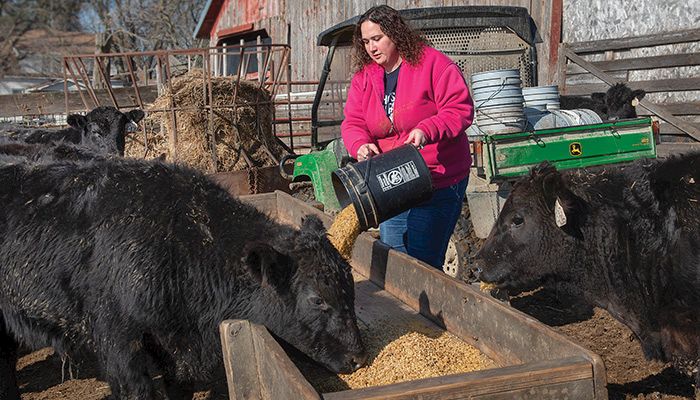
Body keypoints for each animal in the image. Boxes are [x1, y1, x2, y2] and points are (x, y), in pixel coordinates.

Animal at [0, 156, 370, 400]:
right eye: (317, 299)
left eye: (350, 288)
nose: (359, 358)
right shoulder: (117, 338)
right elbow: (136, 390)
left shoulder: (173, 342)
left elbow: (181, 385)